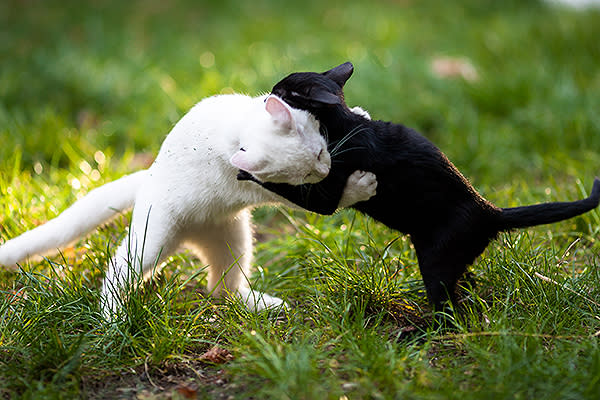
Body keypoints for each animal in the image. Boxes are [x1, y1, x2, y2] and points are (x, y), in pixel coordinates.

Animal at [0, 94, 376, 318]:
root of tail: (148, 177)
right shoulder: (281, 192)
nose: (324, 170)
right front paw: (361, 185)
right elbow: (332, 198)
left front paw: (359, 112)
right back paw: (113, 320)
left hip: (235, 241)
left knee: (222, 288)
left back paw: (258, 303)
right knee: (118, 271)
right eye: (306, 174)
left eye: (320, 153)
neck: (237, 132)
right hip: (150, 241)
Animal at [238, 61, 596, 314]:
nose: (266, 94)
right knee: (464, 288)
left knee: (450, 310)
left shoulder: (326, 195)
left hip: (435, 261)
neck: (343, 123)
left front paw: (246, 168)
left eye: (283, 92)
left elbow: (288, 188)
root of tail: (489, 210)